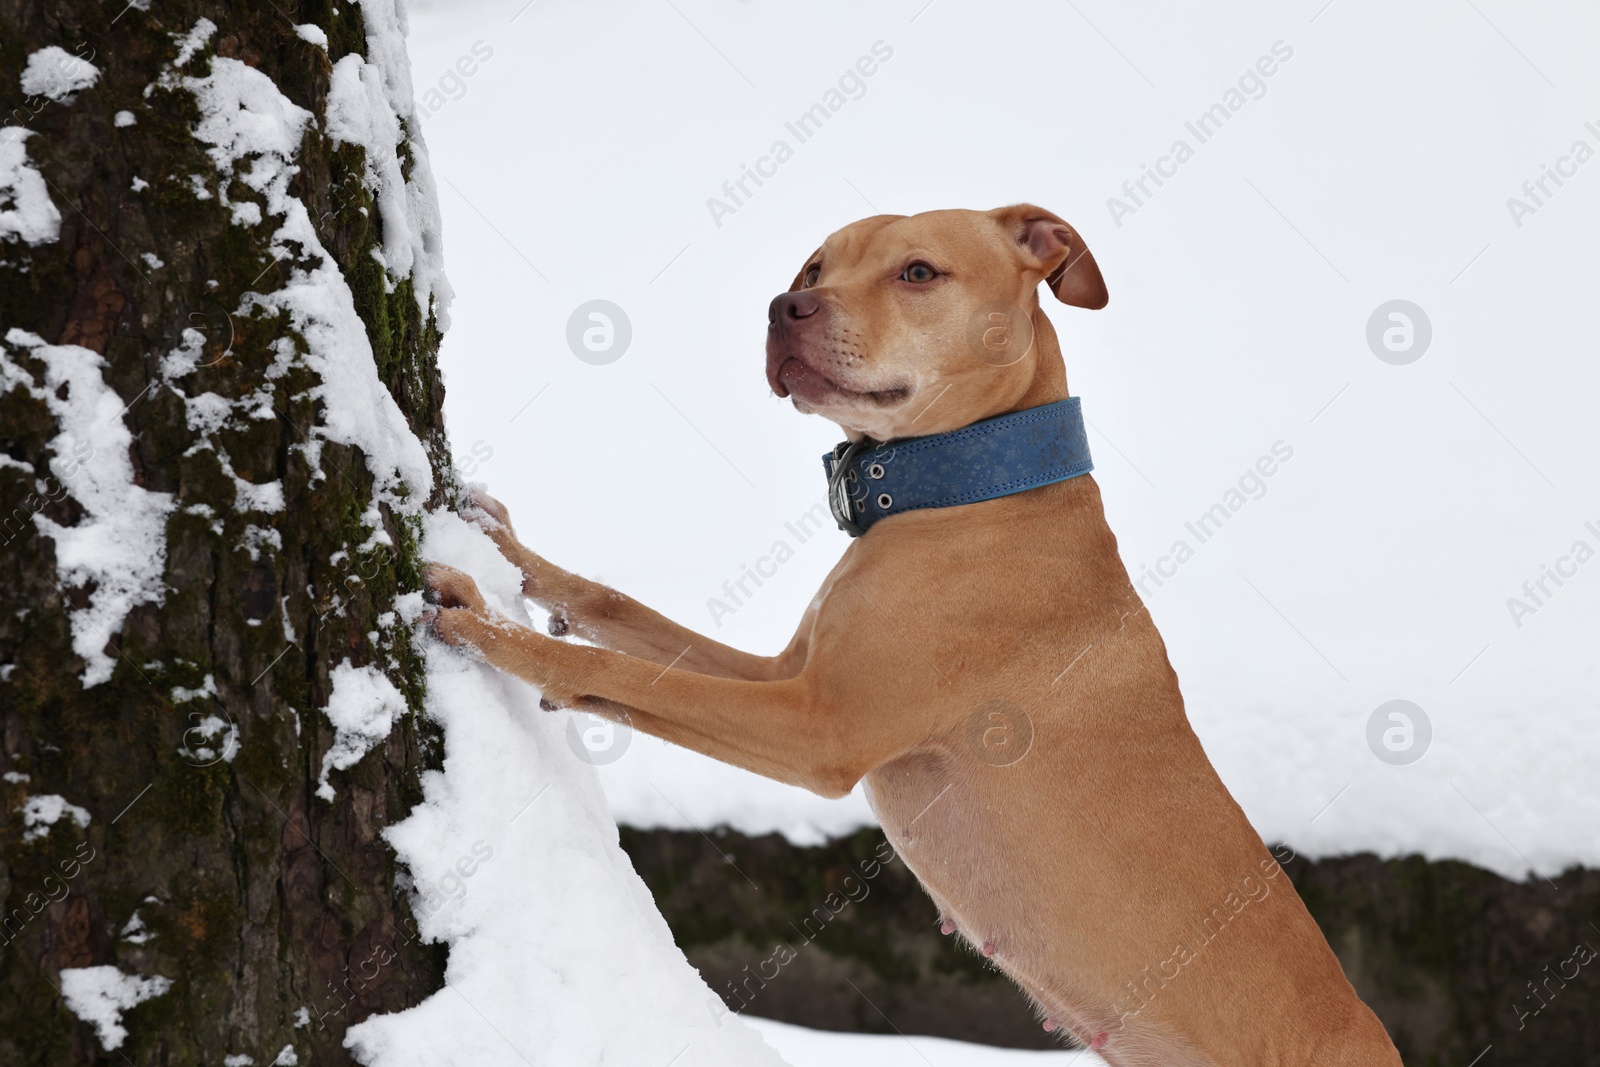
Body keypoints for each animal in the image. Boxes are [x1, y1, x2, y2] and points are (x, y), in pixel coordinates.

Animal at [428, 204, 1401, 1062]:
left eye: (919, 273)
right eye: (813, 269)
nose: (783, 307)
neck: (970, 486)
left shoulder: (816, 728)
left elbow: (625, 676)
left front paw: (487, 627)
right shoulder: (789, 675)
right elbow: (626, 616)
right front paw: (512, 556)